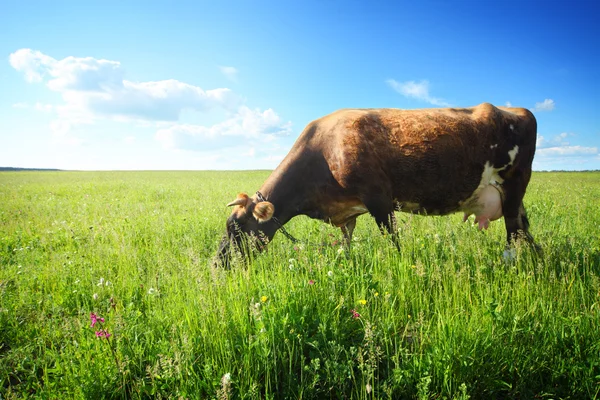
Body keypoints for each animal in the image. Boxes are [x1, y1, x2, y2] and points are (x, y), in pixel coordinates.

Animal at [216, 103, 540, 266]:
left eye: (237, 228)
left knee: (513, 234)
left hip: (513, 186)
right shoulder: (346, 212)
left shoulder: (380, 199)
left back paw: (510, 264)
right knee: (525, 230)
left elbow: (392, 240)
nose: (218, 263)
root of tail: (517, 109)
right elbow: (346, 243)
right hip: (514, 197)